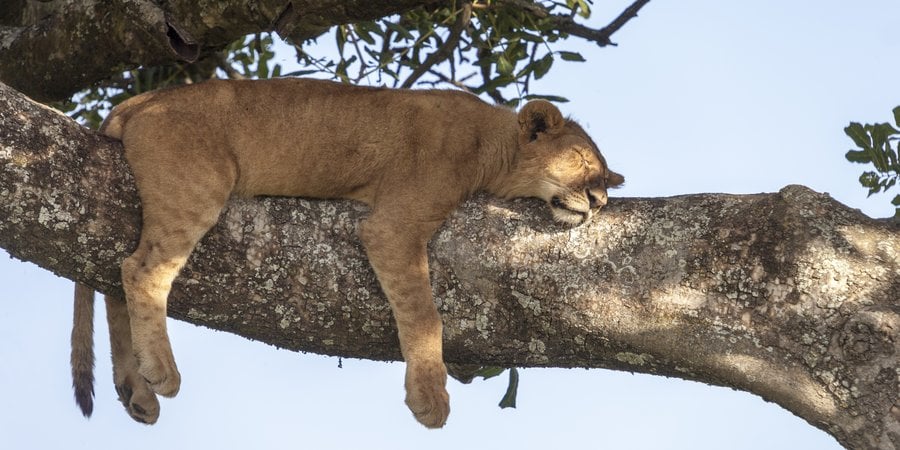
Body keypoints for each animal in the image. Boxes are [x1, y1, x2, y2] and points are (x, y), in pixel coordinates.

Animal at [70, 78, 623, 428]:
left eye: (604, 174)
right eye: (581, 160)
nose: (600, 201)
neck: (492, 139)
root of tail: (139, 101)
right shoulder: (393, 225)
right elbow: (425, 314)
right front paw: (430, 397)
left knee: (112, 279)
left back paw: (136, 392)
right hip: (197, 188)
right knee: (140, 270)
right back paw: (161, 373)